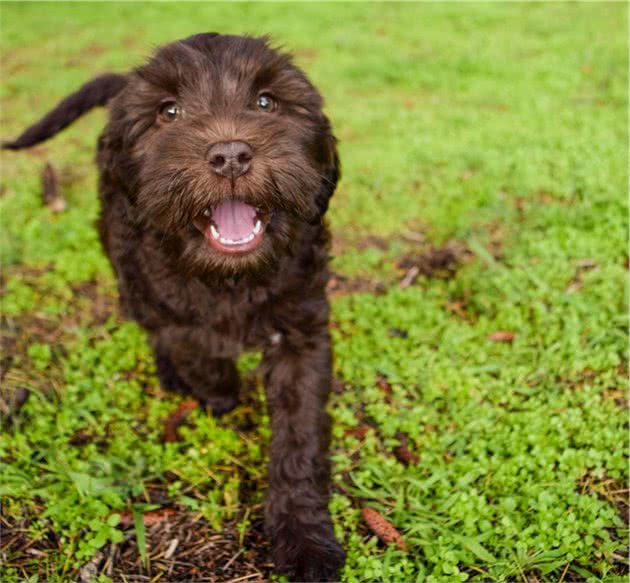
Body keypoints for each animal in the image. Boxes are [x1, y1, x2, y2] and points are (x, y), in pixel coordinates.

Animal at [4, 34, 344, 580]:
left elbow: (300, 438)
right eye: (168, 112)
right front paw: (220, 393)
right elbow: (194, 347)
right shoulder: (167, 298)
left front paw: (305, 538)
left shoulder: (304, 331)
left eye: (266, 102)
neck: (231, 278)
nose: (230, 155)